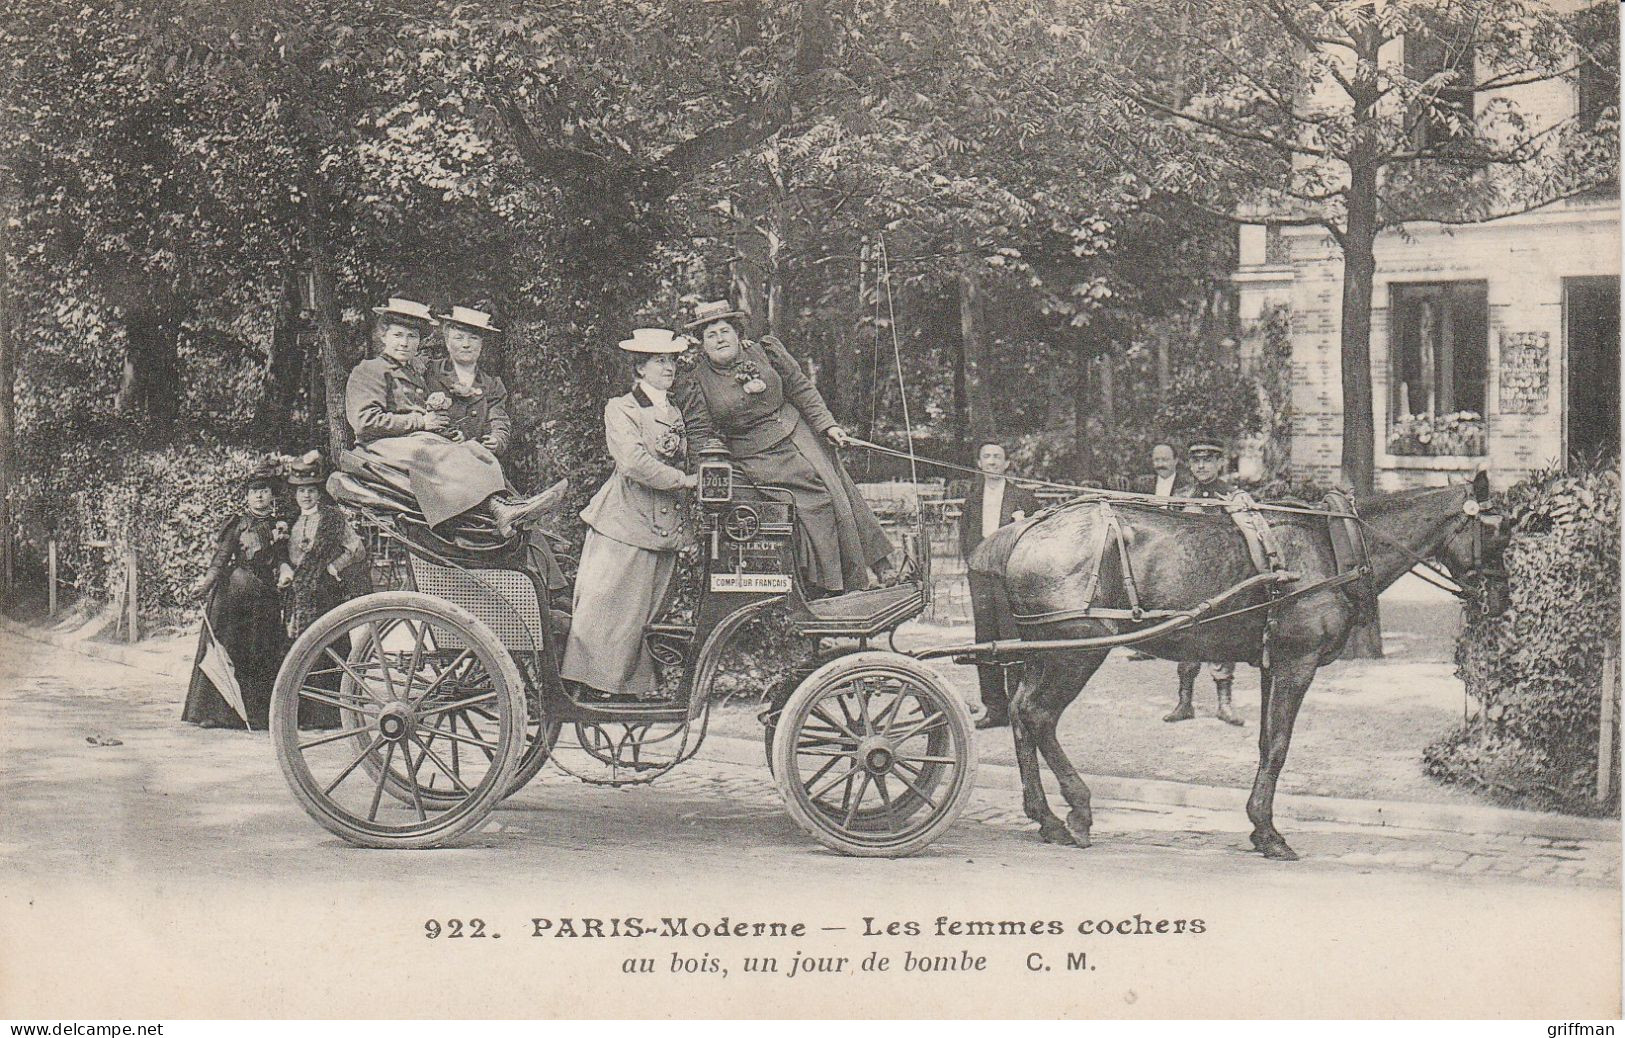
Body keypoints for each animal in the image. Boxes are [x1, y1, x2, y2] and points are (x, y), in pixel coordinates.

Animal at [968, 471, 1501, 857]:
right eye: (1495, 527)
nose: (1499, 594)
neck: (1333, 544)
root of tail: (1023, 530)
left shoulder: (1271, 665)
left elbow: (1266, 742)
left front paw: (1258, 825)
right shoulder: (1296, 664)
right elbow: (1281, 746)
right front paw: (1269, 832)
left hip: (1043, 649)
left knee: (1020, 713)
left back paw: (1045, 816)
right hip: (1077, 650)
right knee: (1038, 715)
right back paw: (1076, 810)